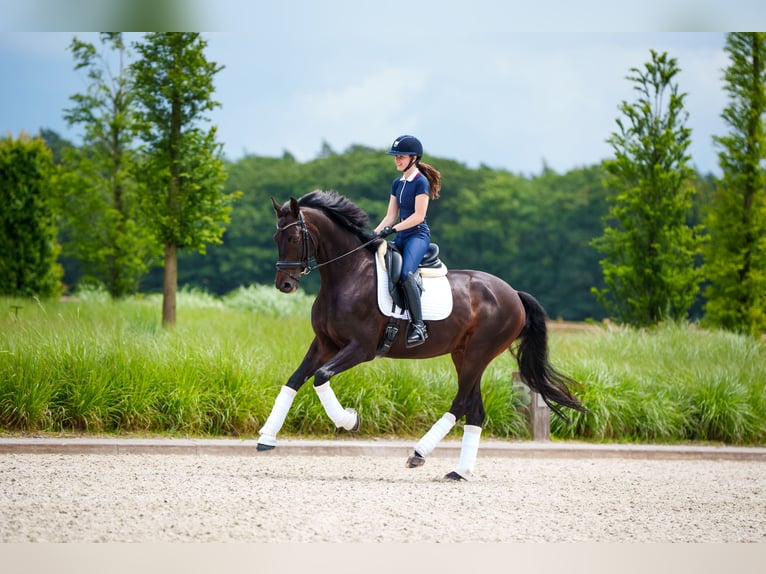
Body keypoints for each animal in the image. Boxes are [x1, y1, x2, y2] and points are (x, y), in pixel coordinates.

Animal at [258, 191, 588, 480]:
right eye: (275, 238)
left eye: (294, 238)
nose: (284, 284)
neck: (348, 276)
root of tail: (514, 294)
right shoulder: (325, 344)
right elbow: (294, 380)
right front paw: (266, 438)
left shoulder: (361, 348)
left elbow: (321, 376)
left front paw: (350, 420)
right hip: (463, 354)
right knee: (475, 410)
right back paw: (460, 472)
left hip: (478, 353)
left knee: (461, 404)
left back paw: (418, 453)